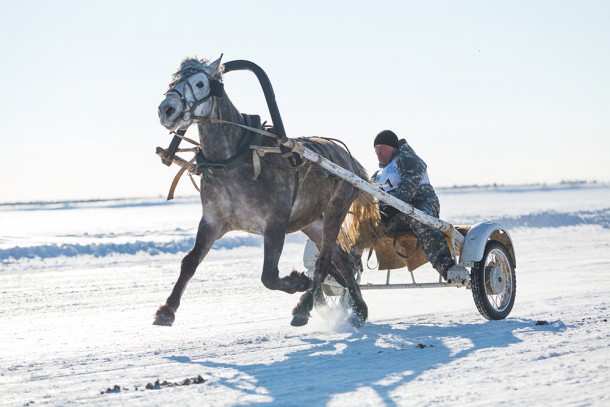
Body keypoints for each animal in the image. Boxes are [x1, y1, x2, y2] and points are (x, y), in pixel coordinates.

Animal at [152, 55, 372, 328]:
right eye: (173, 81)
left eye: (201, 83)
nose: (167, 109)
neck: (234, 159)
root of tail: (348, 158)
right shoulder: (213, 220)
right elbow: (189, 262)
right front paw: (167, 310)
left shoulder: (275, 225)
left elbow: (269, 276)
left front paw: (298, 281)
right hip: (311, 221)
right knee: (340, 259)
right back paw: (359, 309)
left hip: (336, 209)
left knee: (324, 261)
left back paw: (305, 306)